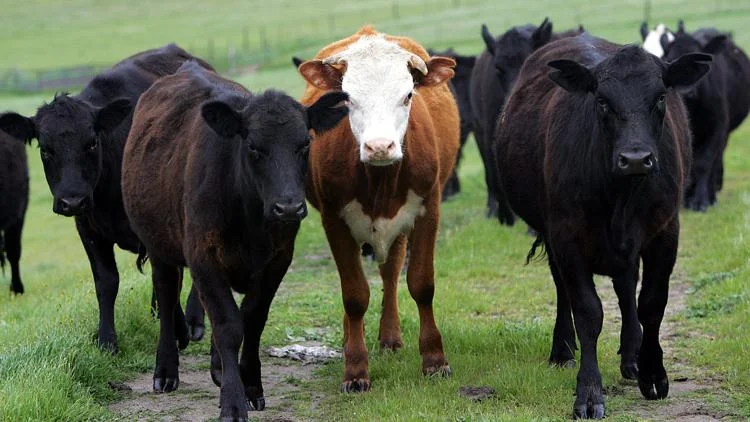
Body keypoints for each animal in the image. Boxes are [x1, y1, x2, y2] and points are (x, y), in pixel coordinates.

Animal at [0, 44, 210, 352]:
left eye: (91, 143)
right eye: (46, 149)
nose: (72, 201)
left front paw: (180, 330)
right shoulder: (88, 229)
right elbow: (107, 282)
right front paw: (107, 340)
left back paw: (194, 319)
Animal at [122, 60, 348, 421]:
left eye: (305, 145)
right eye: (253, 147)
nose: (288, 207)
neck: (251, 222)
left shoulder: (278, 259)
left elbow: (252, 319)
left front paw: (251, 385)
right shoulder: (204, 256)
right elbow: (228, 325)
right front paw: (232, 400)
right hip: (159, 248)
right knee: (167, 295)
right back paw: (166, 371)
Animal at [297, 26, 458, 392]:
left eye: (408, 95)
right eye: (347, 99)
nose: (379, 146)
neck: (380, 179)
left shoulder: (429, 210)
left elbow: (421, 284)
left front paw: (434, 359)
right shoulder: (334, 220)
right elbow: (354, 294)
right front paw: (355, 369)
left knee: (390, 270)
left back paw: (390, 337)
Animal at [495, 34, 710, 418]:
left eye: (660, 97)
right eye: (602, 101)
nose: (636, 159)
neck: (621, 196)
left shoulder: (665, 232)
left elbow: (651, 303)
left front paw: (652, 372)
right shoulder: (566, 236)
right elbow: (588, 311)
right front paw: (589, 392)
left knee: (626, 288)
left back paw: (632, 354)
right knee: (563, 289)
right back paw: (563, 349)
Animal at [662, 24, 750, 211]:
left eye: (699, 67)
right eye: (670, 59)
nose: (687, 92)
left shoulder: (718, 128)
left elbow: (704, 163)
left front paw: (701, 201)